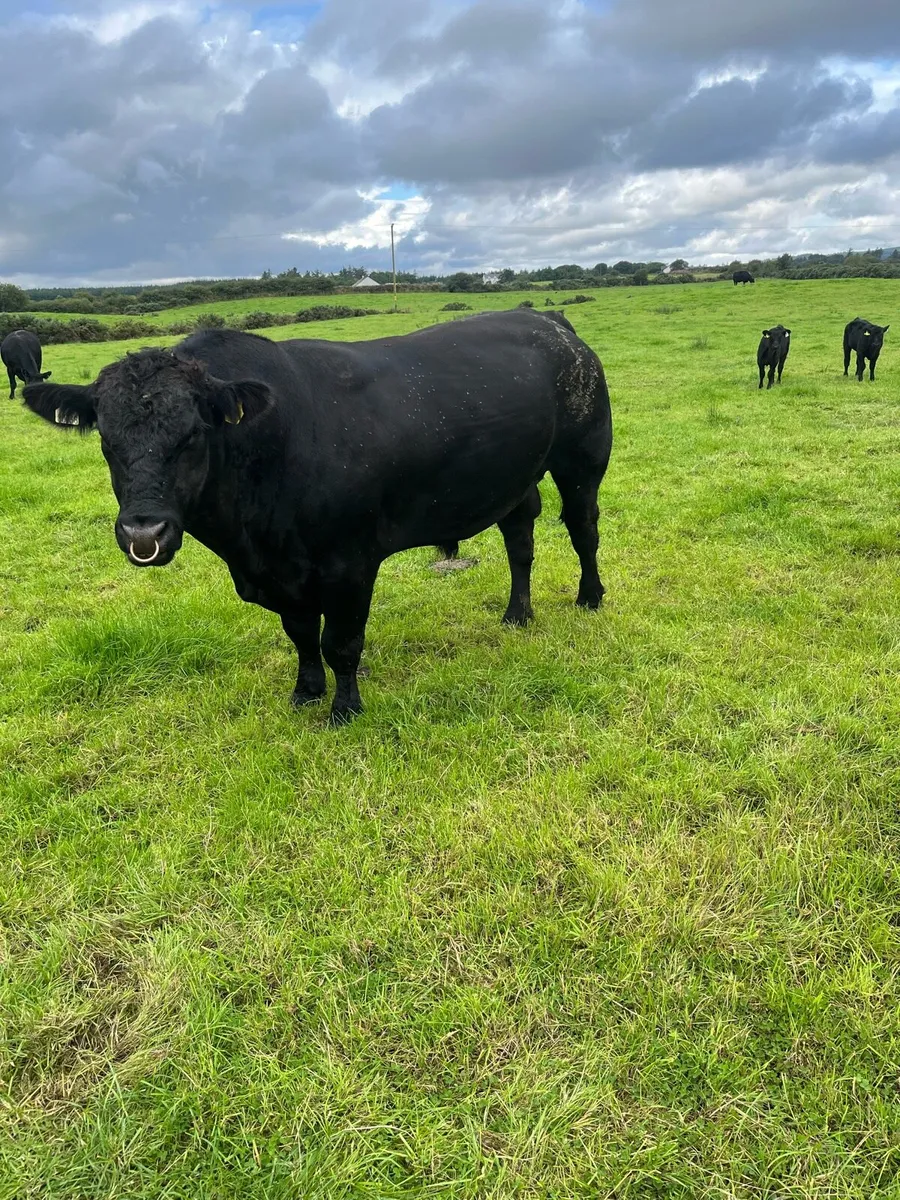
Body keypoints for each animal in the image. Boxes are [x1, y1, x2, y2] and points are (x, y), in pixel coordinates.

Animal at [22, 310, 613, 725]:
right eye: (107, 440)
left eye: (193, 434)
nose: (143, 531)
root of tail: (548, 321)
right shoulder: (284, 574)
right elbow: (302, 635)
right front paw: (306, 692)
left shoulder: (351, 564)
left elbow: (341, 642)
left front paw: (345, 709)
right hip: (515, 479)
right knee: (520, 538)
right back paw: (517, 614)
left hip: (582, 459)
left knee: (583, 529)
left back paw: (589, 597)